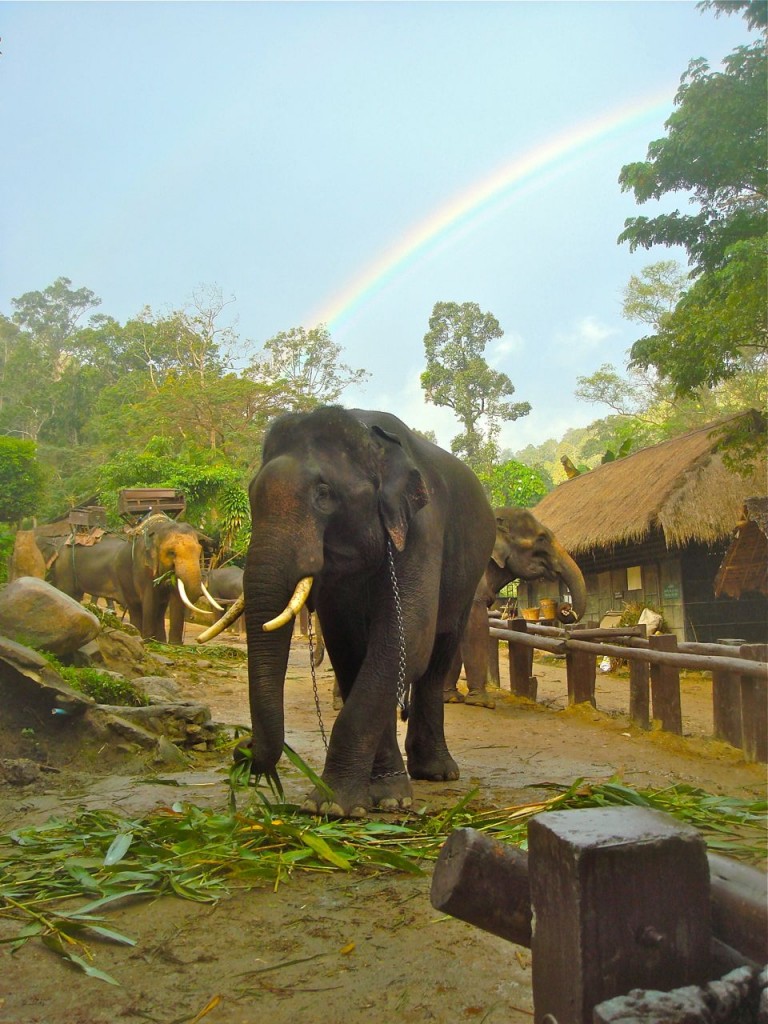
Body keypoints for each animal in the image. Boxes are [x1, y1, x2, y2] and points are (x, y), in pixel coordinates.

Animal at [41, 516, 221, 643]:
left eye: (199, 551)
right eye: (171, 553)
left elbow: (170, 601)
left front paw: (171, 645)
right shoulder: (142, 568)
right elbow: (150, 602)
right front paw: (150, 642)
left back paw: (143, 636)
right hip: (66, 569)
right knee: (68, 592)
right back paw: (141, 637)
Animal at [201, 405, 495, 815]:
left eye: (324, 494)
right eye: (251, 495)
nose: (241, 748)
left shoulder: (421, 531)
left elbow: (406, 638)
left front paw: (334, 805)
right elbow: (349, 646)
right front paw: (381, 796)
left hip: (470, 574)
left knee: (438, 654)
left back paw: (437, 773)